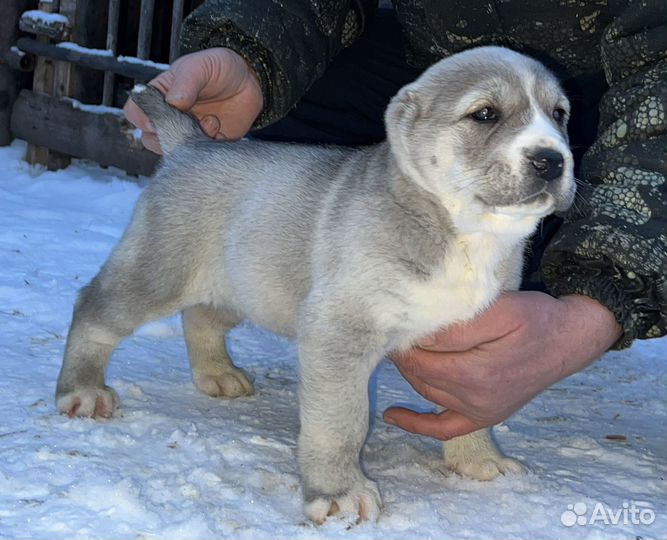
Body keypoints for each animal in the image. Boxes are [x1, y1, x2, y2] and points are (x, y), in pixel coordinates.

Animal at [56, 46, 576, 524]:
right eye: (485, 114)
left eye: (559, 115)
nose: (551, 160)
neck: (467, 234)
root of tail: (192, 144)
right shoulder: (337, 331)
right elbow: (339, 422)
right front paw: (339, 493)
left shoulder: (473, 335)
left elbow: (471, 406)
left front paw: (478, 458)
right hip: (159, 271)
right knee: (94, 307)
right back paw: (82, 390)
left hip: (244, 283)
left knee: (200, 316)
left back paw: (217, 373)